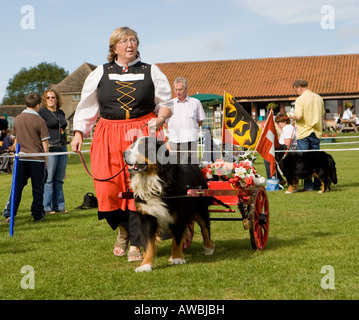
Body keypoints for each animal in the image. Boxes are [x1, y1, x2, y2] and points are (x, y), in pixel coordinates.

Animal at [124, 136, 214, 272]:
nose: (124, 153)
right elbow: (148, 244)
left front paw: (177, 258)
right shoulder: (147, 217)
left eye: (142, 147)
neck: (153, 182)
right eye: (132, 145)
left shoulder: (178, 216)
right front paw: (145, 265)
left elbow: (176, 239)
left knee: (205, 228)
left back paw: (209, 248)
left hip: (201, 208)